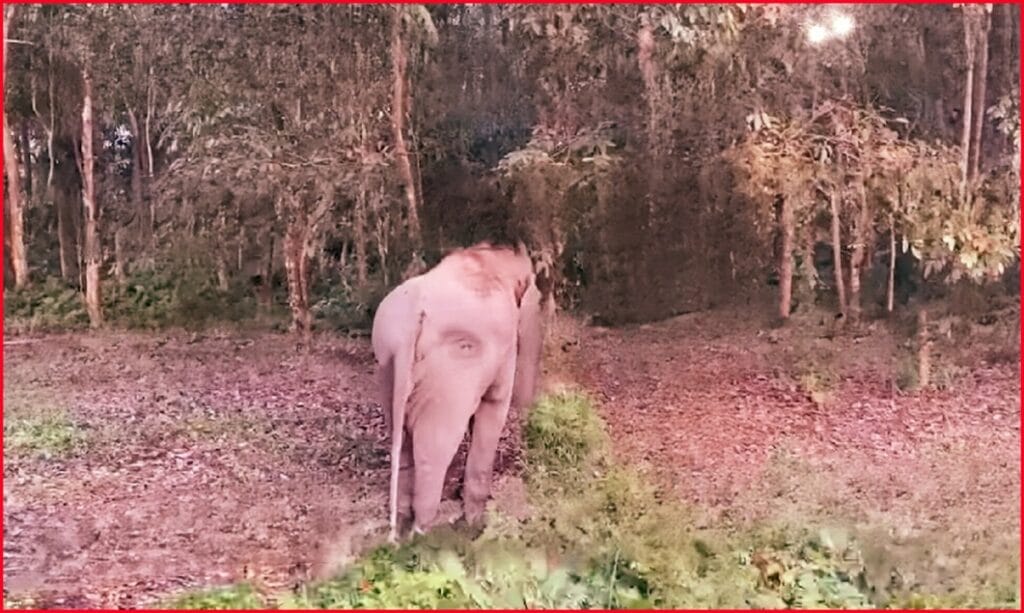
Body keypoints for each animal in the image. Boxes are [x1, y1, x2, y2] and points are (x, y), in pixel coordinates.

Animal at [371, 241, 544, 542]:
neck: (491, 257)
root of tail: (410, 323)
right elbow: (493, 406)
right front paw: (476, 526)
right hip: (447, 376)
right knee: (435, 449)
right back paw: (423, 536)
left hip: (388, 364)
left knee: (402, 440)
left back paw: (403, 528)